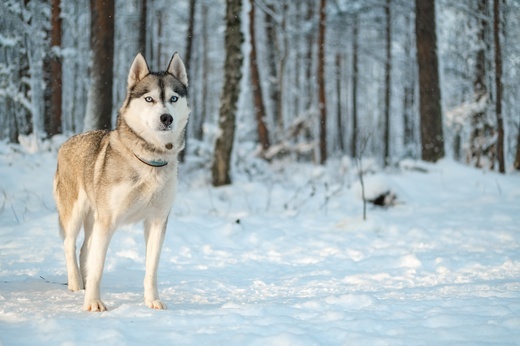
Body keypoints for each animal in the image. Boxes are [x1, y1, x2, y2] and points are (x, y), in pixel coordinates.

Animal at [52, 52, 190, 312]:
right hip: (75, 213)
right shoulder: (107, 221)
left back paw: (83, 283)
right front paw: (93, 302)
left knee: (85, 248)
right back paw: (76, 284)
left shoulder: (157, 221)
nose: (166, 117)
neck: (150, 160)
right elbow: (98, 267)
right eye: (149, 99)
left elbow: (151, 268)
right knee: (69, 245)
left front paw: (152, 300)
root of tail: (67, 142)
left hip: (93, 219)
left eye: (174, 98)